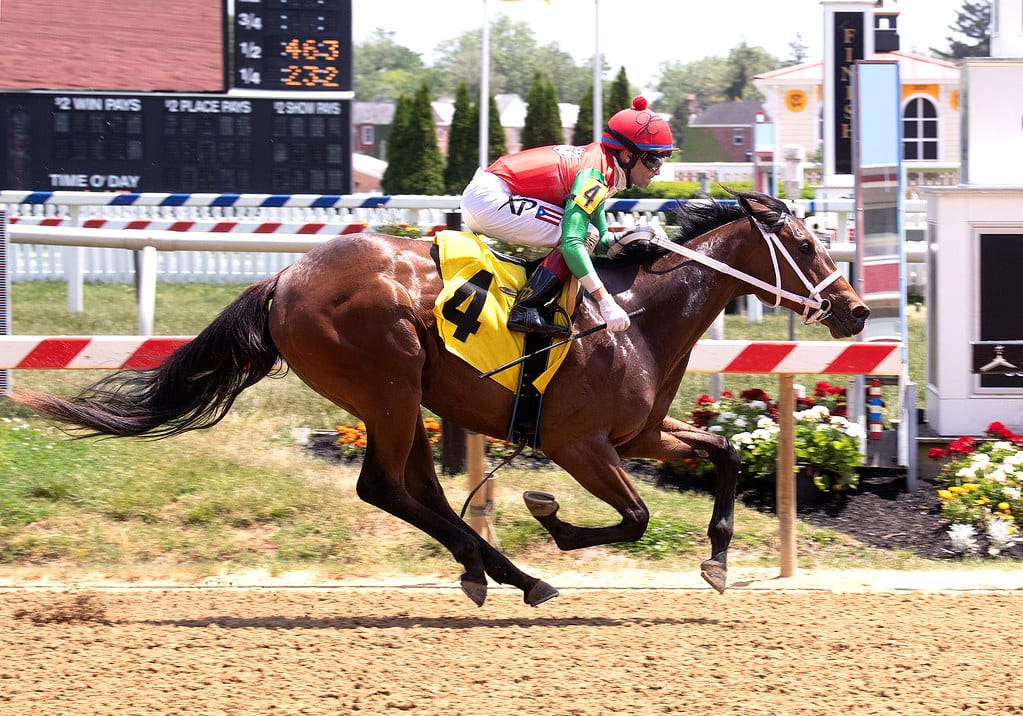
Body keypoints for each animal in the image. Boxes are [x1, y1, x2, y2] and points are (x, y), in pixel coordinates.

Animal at [12, 191, 867, 609]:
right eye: (805, 245)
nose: (856, 311)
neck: (637, 314)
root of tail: (283, 277)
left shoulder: (639, 436)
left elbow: (720, 455)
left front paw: (718, 560)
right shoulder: (578, 445)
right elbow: (633, 516)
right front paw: (549, 518)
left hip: (400, 396)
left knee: (413, 489)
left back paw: (490, 571)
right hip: (386, 384)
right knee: (384, 487)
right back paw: (520, 574)